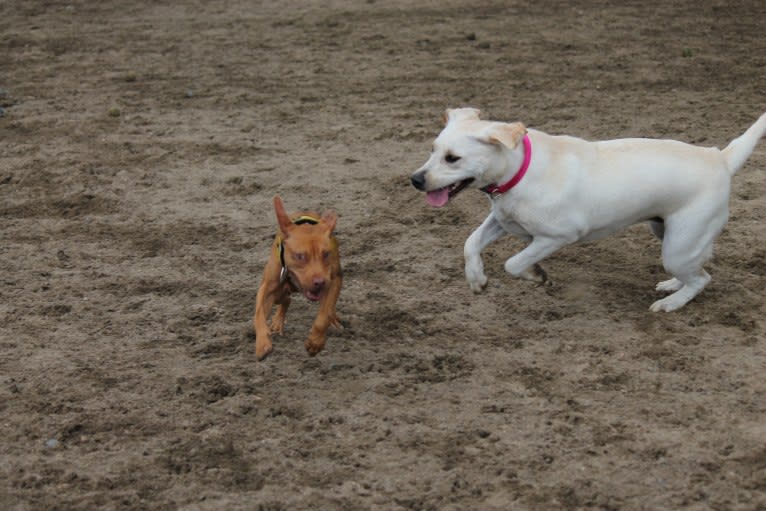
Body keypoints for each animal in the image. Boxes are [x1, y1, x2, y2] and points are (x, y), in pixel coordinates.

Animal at [254, 196, 344, 360]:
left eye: (326, 254)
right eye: (300, 256)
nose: (320, 282)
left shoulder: (334, 280)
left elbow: (324, 315)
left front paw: (315, 343)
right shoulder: (267, 287)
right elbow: (258, 314)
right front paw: (262, 343)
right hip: (278, 293)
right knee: (285, 301)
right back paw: (277, 322)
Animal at [414, 108, 766, 312]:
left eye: (453, 158)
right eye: (432, 150)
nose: (415, 179)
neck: (520, 170)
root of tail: (720, 158)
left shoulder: (556, 237)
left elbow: (513, 263)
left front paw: (536, 274)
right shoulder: (503, 221)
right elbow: (470, 242)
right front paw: (476, 278)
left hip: (678, 245)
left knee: (701, 279)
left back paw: (670, 303)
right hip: (666, 232)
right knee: (697, 269)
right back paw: (672, 285)